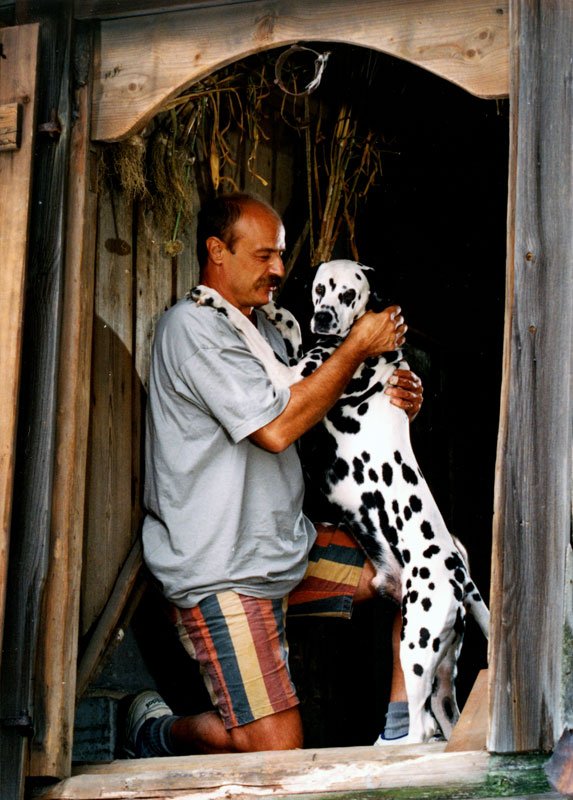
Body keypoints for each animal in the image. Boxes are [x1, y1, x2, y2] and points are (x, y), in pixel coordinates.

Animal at [264, 260, 488, 740]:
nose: (324, 318)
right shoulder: (300, 355)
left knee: (421, 728)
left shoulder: (288, 378)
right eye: (320, 289)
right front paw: (274, 308)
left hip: (416, 647)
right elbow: (289, 326)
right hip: (442, 673)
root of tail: (459, 574)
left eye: (350, 295)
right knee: (444, 721)